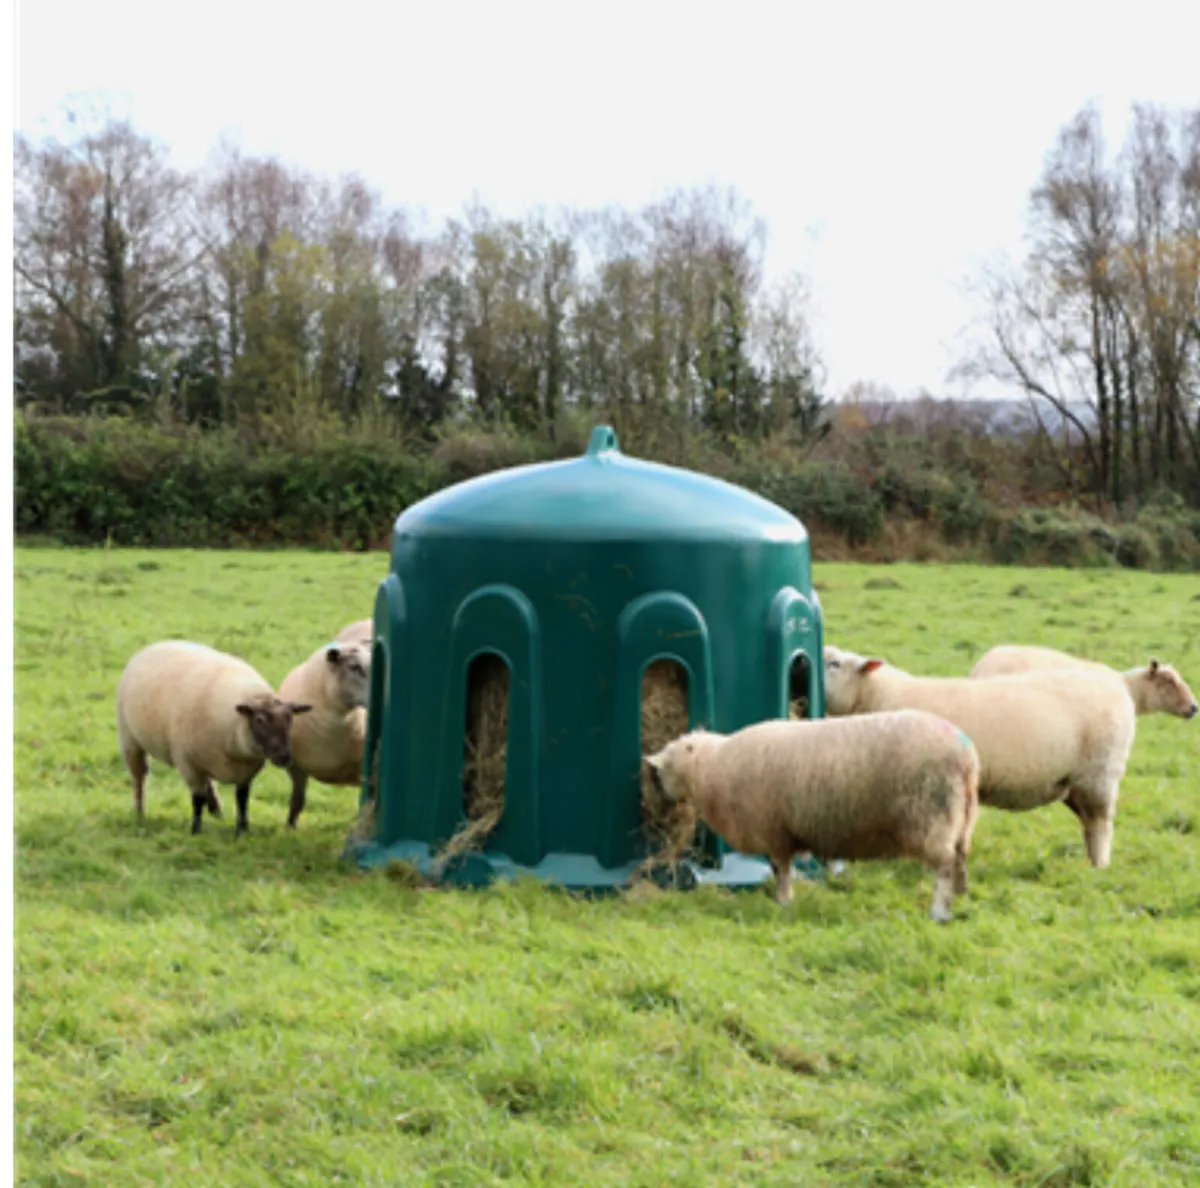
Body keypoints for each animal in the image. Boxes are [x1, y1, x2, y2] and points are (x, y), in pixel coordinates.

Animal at [116, 641, 312, 834]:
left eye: (290, 718)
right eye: (259, 720)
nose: (284, 757)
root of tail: (155, 644)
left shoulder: (246, 771)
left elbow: (242, 799)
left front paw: (242, 829)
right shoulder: (189, 763)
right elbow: (197, 799)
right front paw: (195, 830)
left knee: (208, 784)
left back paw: (217, 811)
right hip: (129, 739)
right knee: (139, 778)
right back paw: (140, 812)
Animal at [645, 710, 980, 922]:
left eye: (665, 767)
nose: (660, 797)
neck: (714, 767)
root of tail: (966, 756)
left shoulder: (775, 831)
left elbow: (781, 870)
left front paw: (782, 902)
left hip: (932, 817)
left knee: (944, 865)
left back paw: (940, 911)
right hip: (961, 819)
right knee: (961, 857)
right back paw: (963, 895)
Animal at [822, 644, 1137, 868]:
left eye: (834, 664)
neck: (877, 697)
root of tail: (1119, 690)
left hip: (1099, 774)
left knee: (1100, 823)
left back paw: (1099, 866)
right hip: (1073, 783)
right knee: (1088, 822)